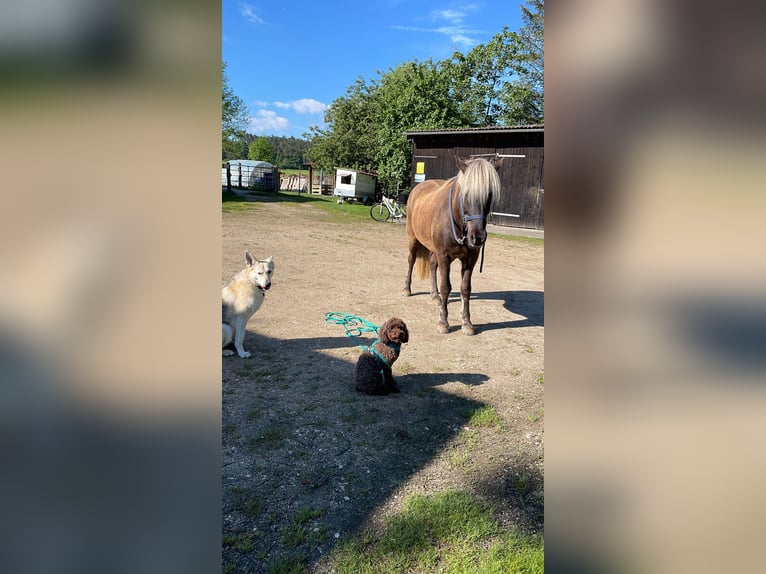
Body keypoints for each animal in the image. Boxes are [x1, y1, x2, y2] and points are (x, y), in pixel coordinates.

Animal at [402, 156, 504, 338]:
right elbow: (446, 287)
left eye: (489, 194)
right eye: (466, 194)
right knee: (411, 261)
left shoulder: (470, 259)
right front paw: (443, 322)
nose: (477, 237)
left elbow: (465, 289)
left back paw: (434, 295)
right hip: (413, 239)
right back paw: (407, 289)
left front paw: (467, 323)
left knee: (432, 265)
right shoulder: (445, 256)